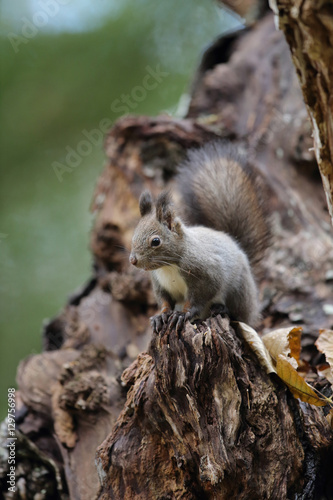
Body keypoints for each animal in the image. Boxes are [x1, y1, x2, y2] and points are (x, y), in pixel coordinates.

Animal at [128, 143, 268, 334]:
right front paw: (160, 315)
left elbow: (198, 299)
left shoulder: (207, 275)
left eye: (155, 241)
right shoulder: (159, 283)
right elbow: (165, 301)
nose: (133, 260)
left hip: (239, 291)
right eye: (134, 235)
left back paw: (223, 309)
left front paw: (182, 314)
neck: (168, 267)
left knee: (240, 315)